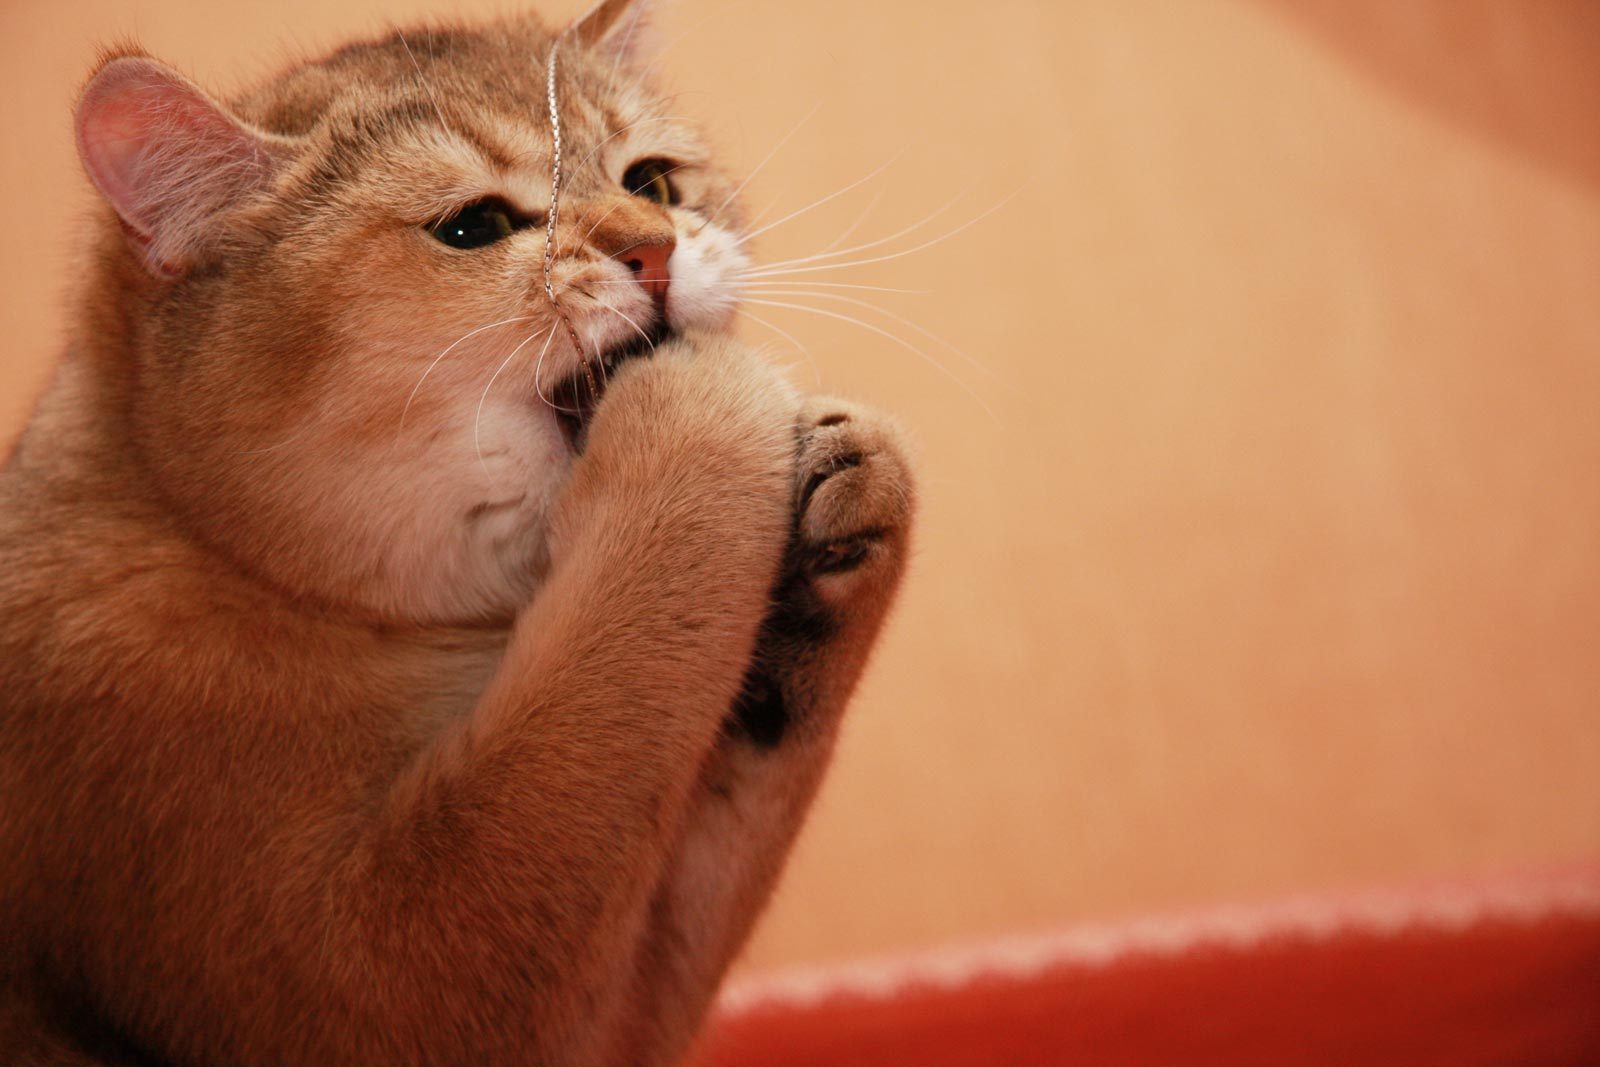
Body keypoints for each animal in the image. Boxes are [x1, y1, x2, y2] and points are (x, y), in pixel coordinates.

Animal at [0, 4, 915, 1062]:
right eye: (474, 227)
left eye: (651, 182)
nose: (656, 248)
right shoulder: (379, 973)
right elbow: (611, 689)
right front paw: (702, 405)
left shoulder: (613, 1020)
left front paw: (853, 505)